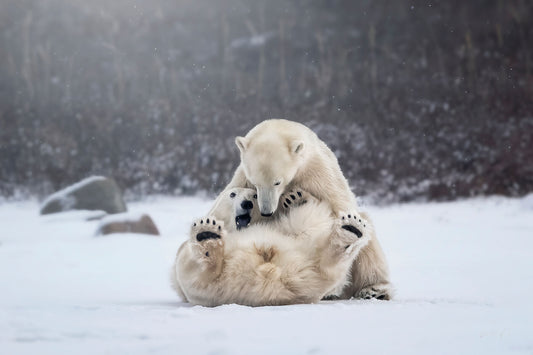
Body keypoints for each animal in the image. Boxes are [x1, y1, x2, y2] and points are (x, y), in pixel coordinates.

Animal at [211, 119, 390, 300]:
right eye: (255, 183)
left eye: (277, 182)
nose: (266, 211)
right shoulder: (242, 178)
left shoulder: (318, 175)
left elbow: (336, 209)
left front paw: (297, 198)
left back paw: (373, 290)